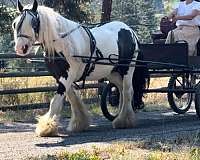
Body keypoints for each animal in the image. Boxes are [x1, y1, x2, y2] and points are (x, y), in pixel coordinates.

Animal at [12, 0, 149, 137]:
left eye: (33, 23)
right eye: (15, 24)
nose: (21, 48)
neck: (63, 43)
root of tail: (130, 30)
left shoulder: (68, 75)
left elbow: (56, 101)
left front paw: (46, 127)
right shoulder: (61, 77)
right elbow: (72, 98)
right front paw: (79, 123)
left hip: (127, 69)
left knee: (127, 91)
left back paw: (124, 121)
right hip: (113, 73)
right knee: (121, 89)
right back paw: (120, 116)